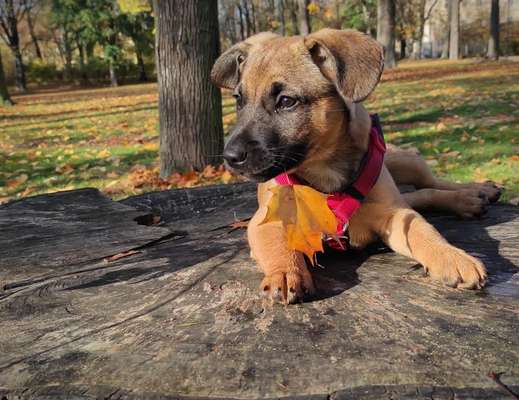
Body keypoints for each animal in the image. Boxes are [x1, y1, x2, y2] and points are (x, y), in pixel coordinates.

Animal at [209, 28, 502, 304]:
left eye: (287, 101)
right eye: (238, 99)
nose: (230, 157)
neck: (325, 173)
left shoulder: (393, 215)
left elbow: (422, 230)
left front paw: (451, 255)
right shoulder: (265, 221)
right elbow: (278, 246)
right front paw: (284, 272)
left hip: (406, 163)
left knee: (430, 184)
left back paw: (476, 191)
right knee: (421, 195)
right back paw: (470, 199)